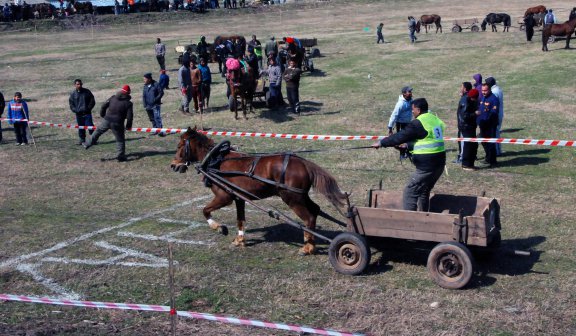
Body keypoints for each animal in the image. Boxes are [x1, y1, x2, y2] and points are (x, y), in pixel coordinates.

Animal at [169, 127, 348, 256]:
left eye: (179, 146)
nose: (173, 165)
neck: (215, 161)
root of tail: (304, 163)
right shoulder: (239, 198)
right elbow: (240, 220)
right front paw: (239, 240)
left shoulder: (224, 196)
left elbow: (205, 210)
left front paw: (219, 228)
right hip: (300, 196)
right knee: (315, 210)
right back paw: (312, 243)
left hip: (292, 198)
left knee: (309, 218)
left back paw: (307, 248)